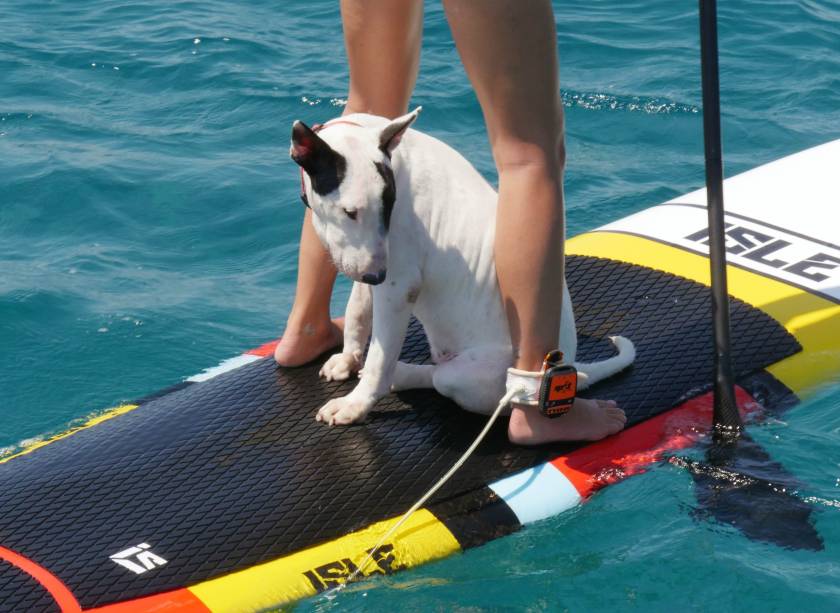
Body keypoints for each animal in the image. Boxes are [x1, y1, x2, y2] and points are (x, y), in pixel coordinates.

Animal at [288, 109, 632, 426]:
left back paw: (402, 374)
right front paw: (348, 357)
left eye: (390, 206)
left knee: (438, 378)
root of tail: (571, 369)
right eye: (350, 212)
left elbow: (379, 358)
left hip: (472, 376)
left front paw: (356, 404)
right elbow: (357, 311)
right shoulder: (369, 264)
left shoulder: (398, 284)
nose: (376, 275)